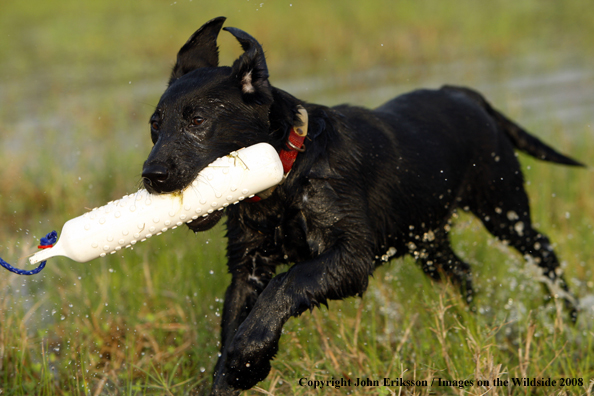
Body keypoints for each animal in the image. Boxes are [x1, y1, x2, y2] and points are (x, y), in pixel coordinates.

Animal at [141, 17, 580, 394]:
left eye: (198, 120)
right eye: (154, 125)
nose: (151, 175)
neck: (290, 173)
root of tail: (461, 93)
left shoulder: (350, 257)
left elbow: (286, 283)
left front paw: (248, 354)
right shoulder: (248, 267)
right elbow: (233, 323)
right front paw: (236, 370)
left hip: (502, 209)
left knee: (543, 250)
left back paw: (568, 318)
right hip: (426, 238)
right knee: (461, 271)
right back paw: (472, 324)